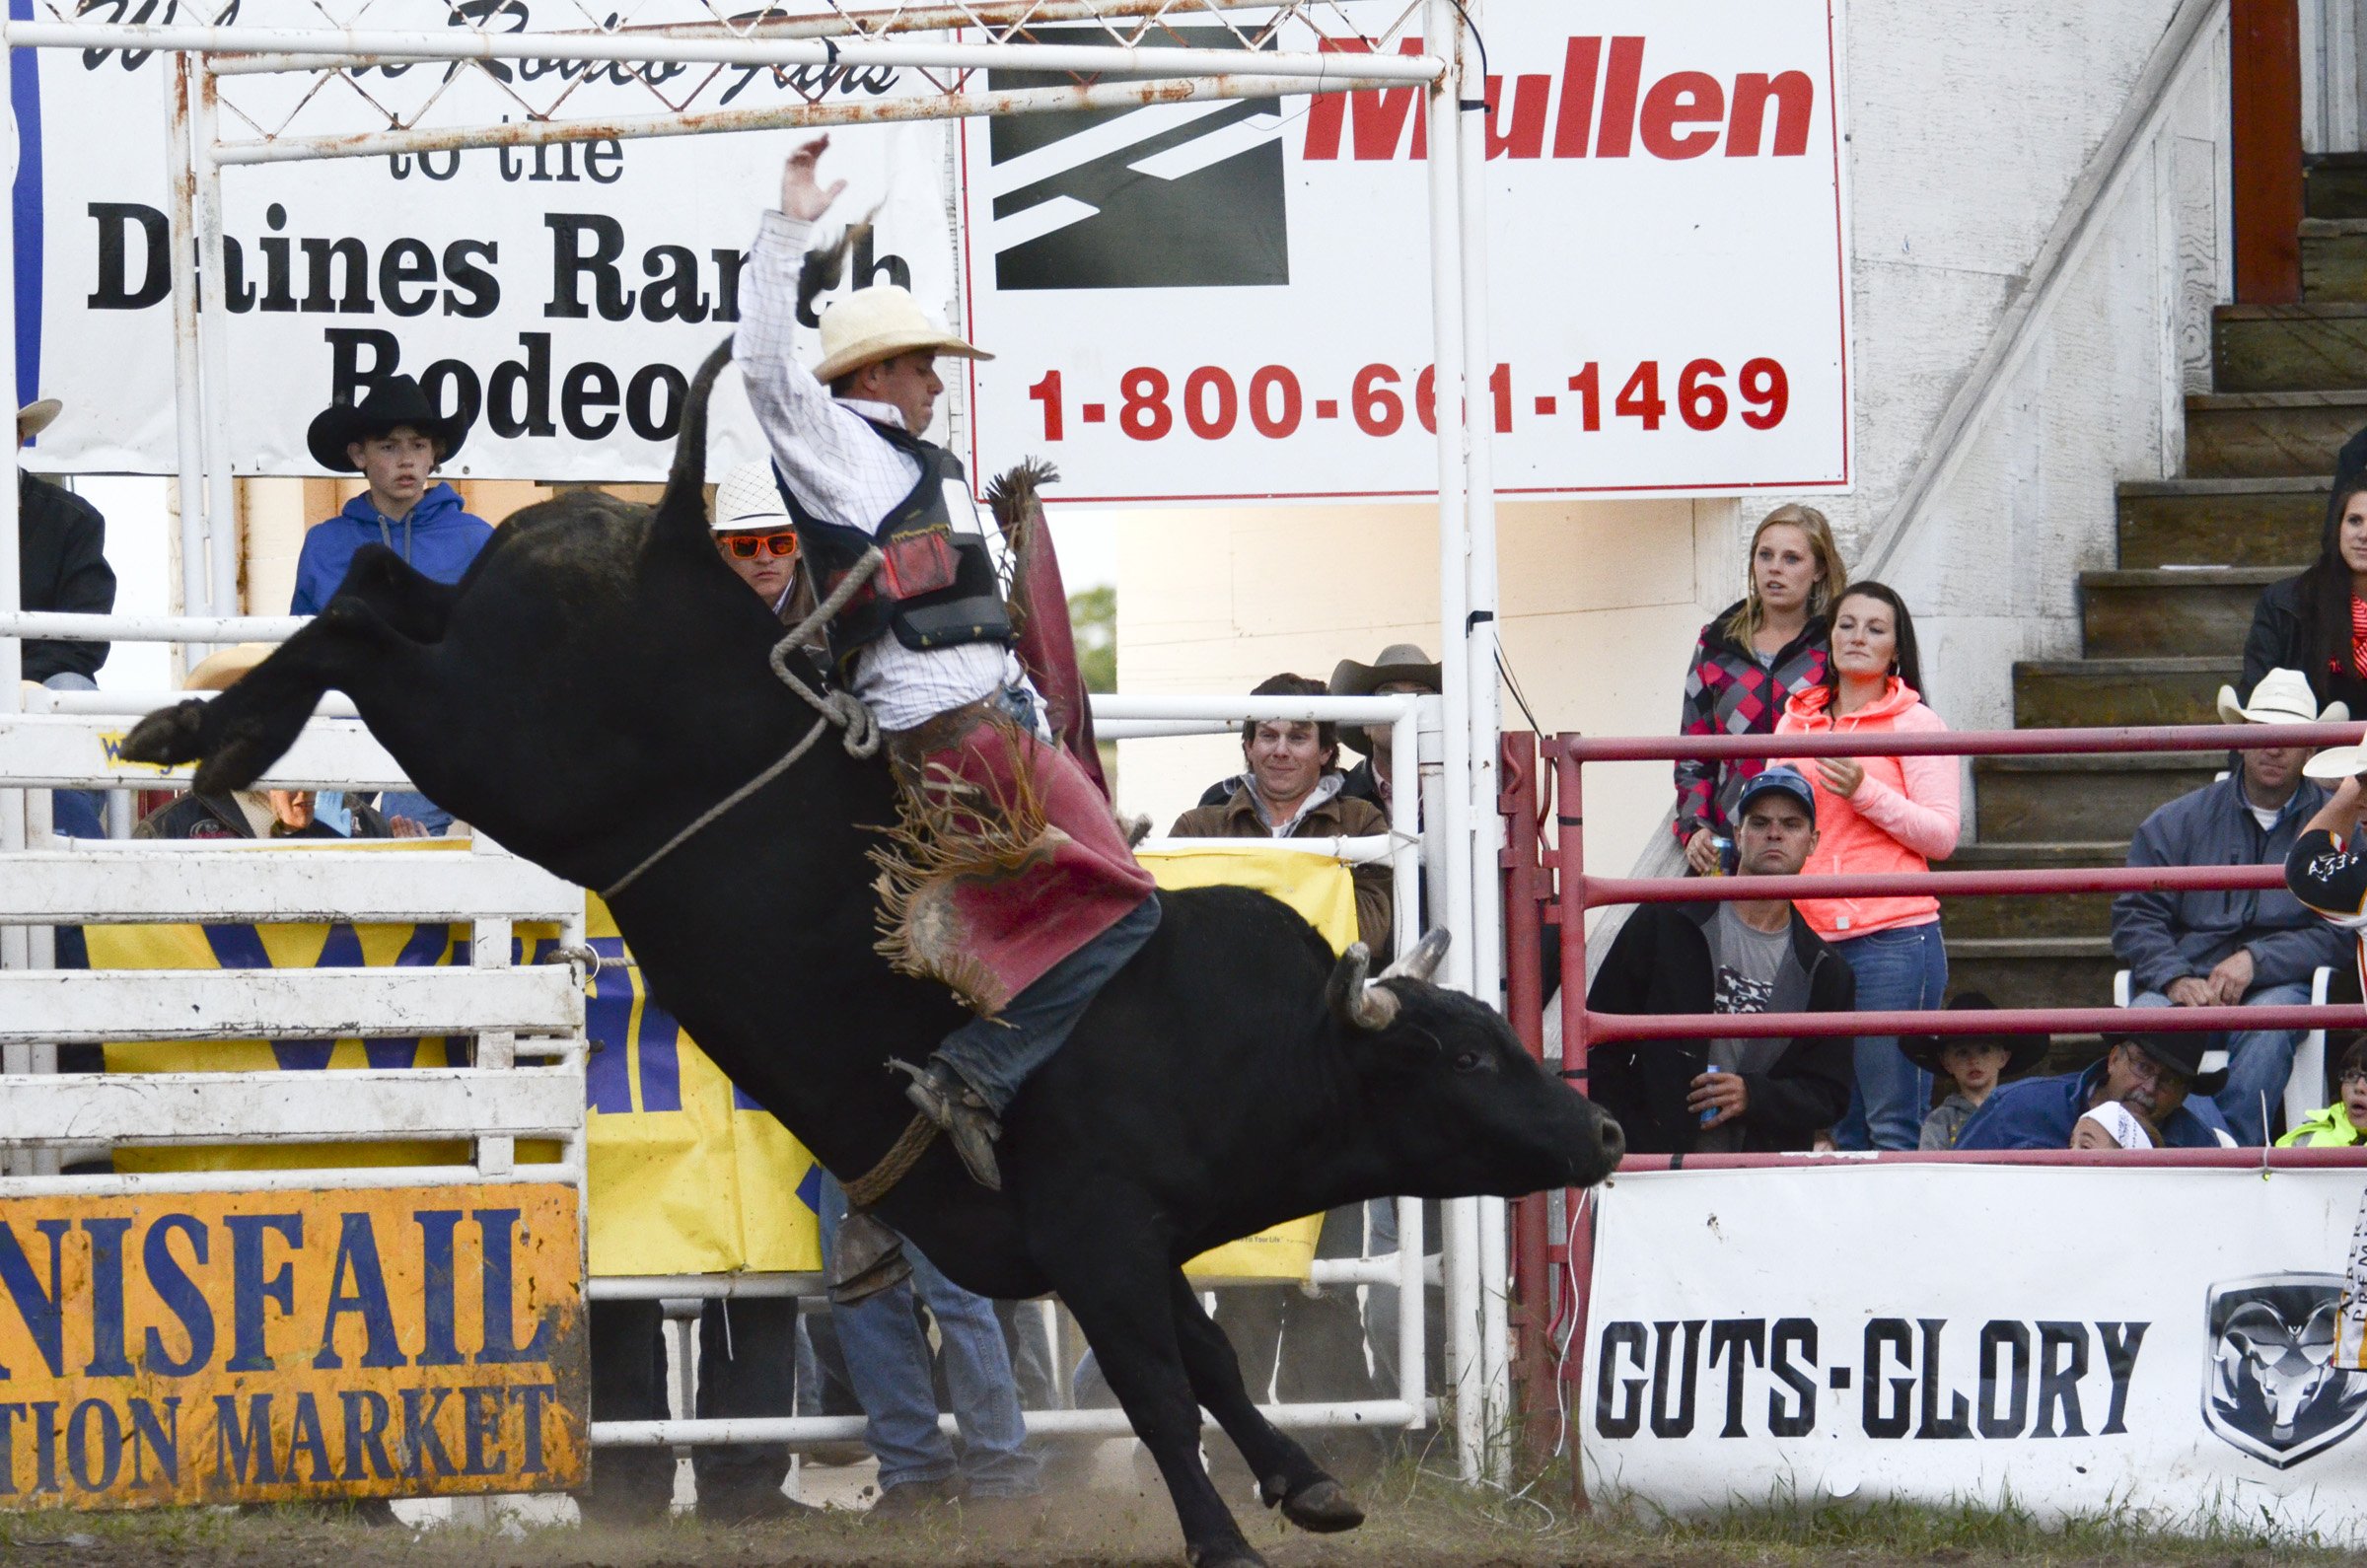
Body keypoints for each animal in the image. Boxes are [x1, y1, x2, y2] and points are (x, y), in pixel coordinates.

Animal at [119, 343, 1618, 1568]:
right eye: (1466, 1051)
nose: (1601, 1130)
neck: (1242, 1032)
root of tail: (670, 533)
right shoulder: (1096, 1234)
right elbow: (1160, 1388)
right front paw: (1227, 1537)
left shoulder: (1130, 1239)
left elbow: (1210, 1362)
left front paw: (1307, 1482)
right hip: (495, 736)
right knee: (364, 617)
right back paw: (210, 734)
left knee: (380, 581)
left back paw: (207, 727)